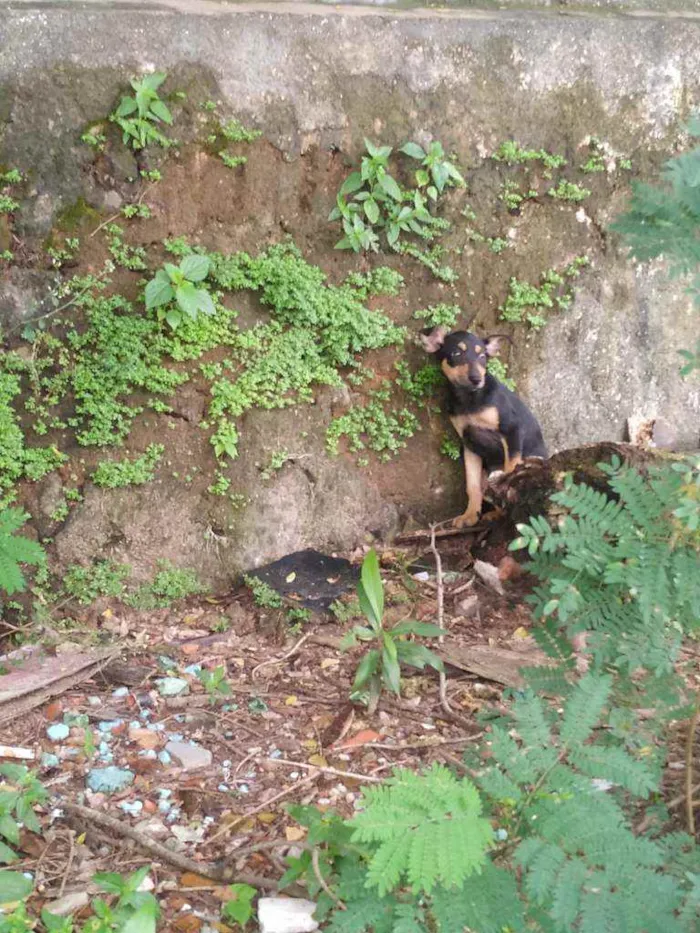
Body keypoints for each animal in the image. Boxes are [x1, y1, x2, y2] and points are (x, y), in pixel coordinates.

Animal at [422, 330, 548, 528]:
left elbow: (511, 468)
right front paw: (470, 515)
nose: (476, 379)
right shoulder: (469, 444)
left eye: (482, 357)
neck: (469, 399)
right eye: (456, 354)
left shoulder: (512, 430)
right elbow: (472, 486)